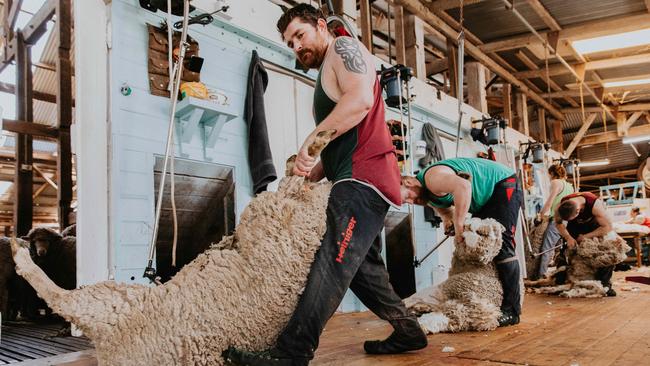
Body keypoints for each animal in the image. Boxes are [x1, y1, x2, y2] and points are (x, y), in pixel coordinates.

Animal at [10, 130, 334, 364]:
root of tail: (106, 344)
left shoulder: (276, 213)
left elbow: (295, 176)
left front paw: (313, 146)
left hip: (114, 301)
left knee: (61, 298)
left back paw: (19, 252)